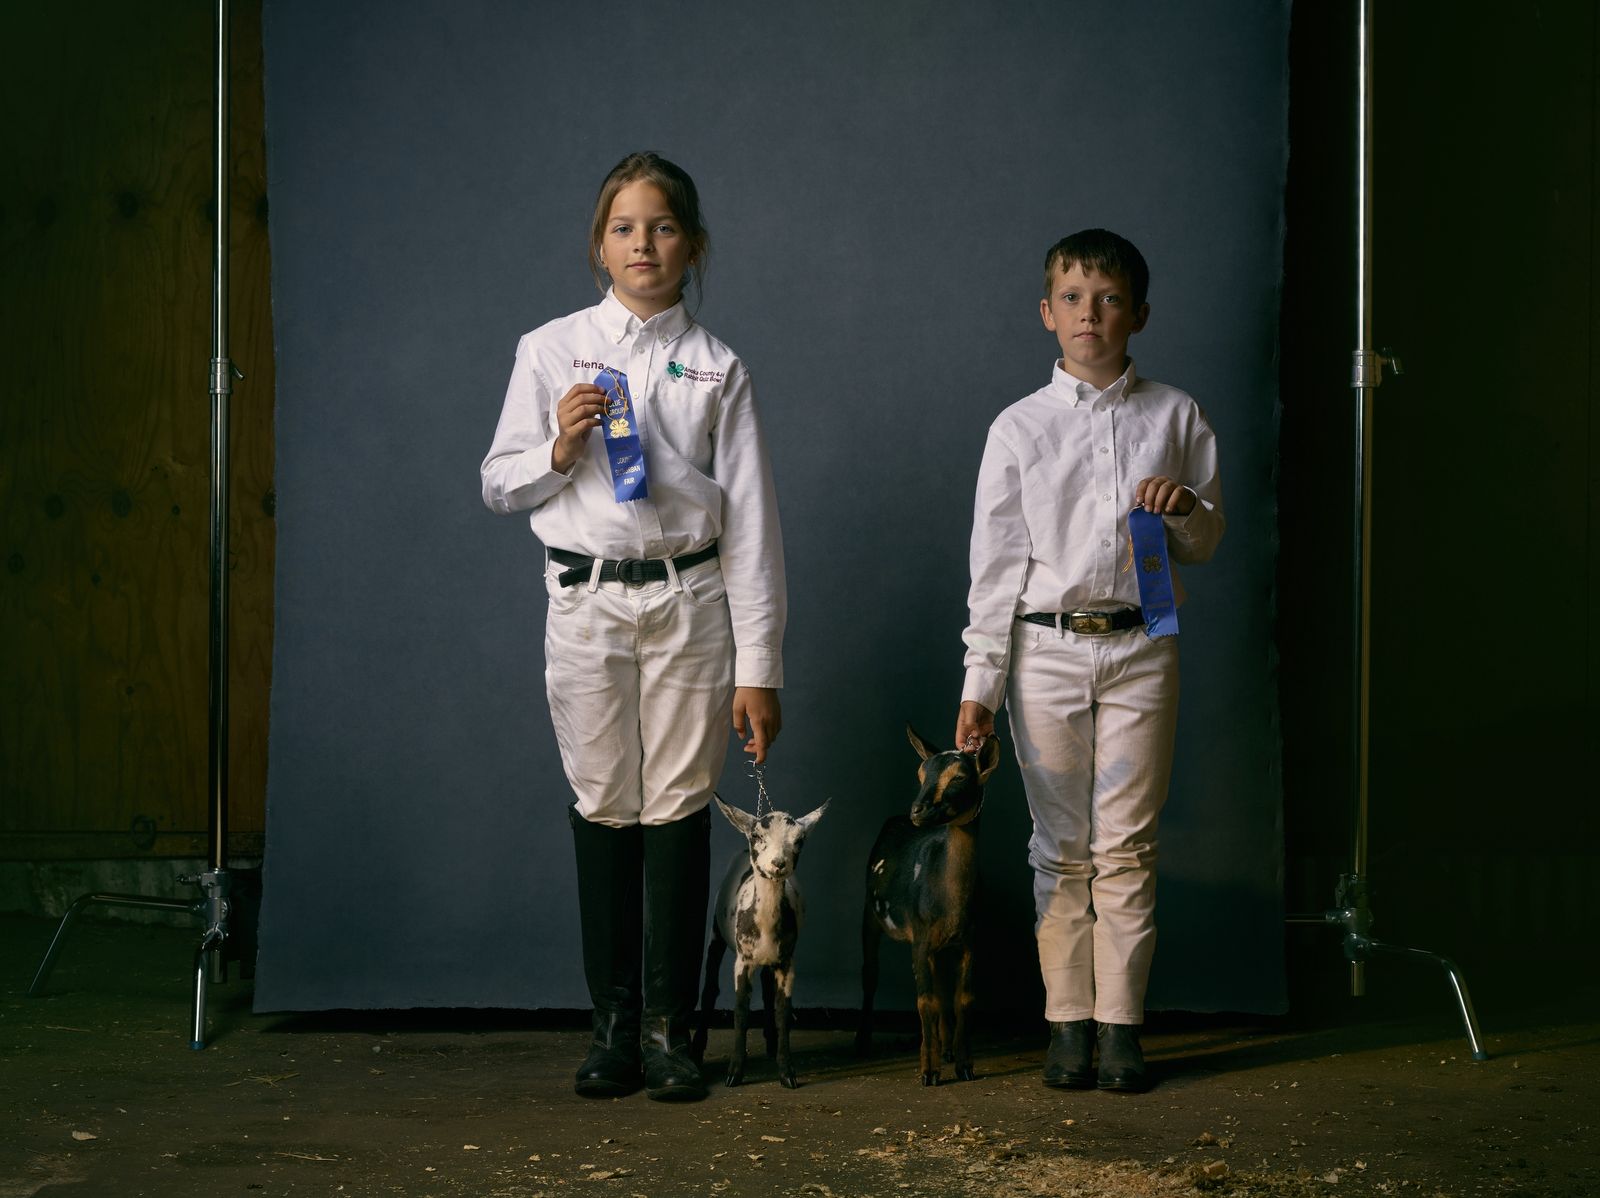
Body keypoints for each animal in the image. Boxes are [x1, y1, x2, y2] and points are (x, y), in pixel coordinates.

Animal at [857, 729, 992, 1081]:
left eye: (959, 777)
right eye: (921, 774)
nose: (918, 810)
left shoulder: (969, 940)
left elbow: (963, 999)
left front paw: (964, 1065)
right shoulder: (919, 937)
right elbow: (925, 1002)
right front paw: (928, 1073)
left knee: (942, 984)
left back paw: (946, 1049)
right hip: (870, 914)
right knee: (870, 973)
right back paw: (863, 1042)